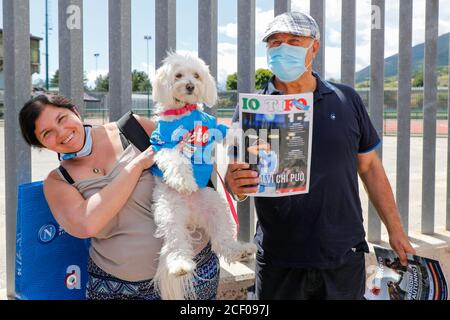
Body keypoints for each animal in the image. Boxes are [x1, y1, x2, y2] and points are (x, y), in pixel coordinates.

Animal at [150, 52, 256, 300]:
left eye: (197, 75)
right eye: (178, 75)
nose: (190, 85)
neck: (183, 113)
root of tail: (191, 215)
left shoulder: (214, 125)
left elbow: (231, 131)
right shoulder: (162, 144)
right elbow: (175, 159)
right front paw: (184, 181)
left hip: (215, 206)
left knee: (222, 241)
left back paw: (240, 249)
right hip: (169, 211)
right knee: (176, 242)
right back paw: (180, 265)